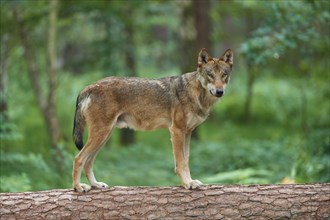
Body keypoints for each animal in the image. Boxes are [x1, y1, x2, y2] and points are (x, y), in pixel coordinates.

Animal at [72, 47, 233, 191]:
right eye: (210, 75)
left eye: (224, 75)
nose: (219, 91)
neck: (196, 94)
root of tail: (88, 87)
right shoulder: (177, 131)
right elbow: (181, 163)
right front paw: (187, 183)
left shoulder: (188, 133)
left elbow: (186, 161)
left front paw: (190, 181)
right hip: (101, 134)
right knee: (79, 158)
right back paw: (78, 187)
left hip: (104, 136)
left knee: (88, 162)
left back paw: (95, 184)